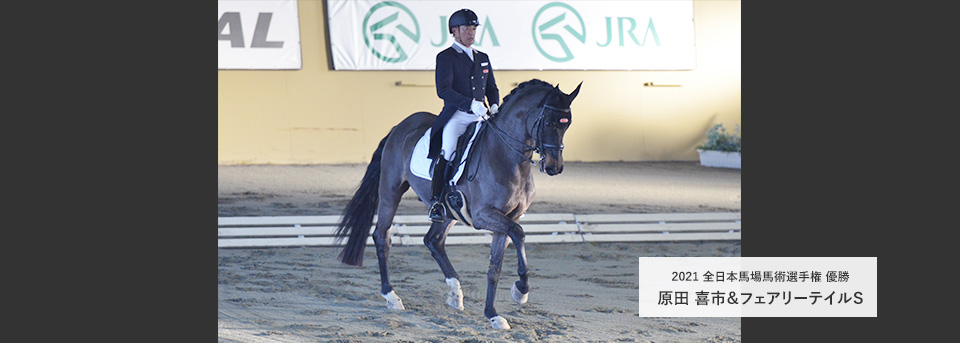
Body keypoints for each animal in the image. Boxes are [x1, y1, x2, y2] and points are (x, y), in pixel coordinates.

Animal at [334, 78, 580, 330]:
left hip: (448, 212)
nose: (554, 167)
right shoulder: (484, 215)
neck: (506, 157)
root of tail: (400, 126)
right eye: (548, 122)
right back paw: (392, 297)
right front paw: (520, 291)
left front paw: (492, 314)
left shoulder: (507, 217)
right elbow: (519, 234)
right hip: (390, 190)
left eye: (567, 124)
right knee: (382, 236)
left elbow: (495, 266)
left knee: (433, 240)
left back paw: (455, 294)